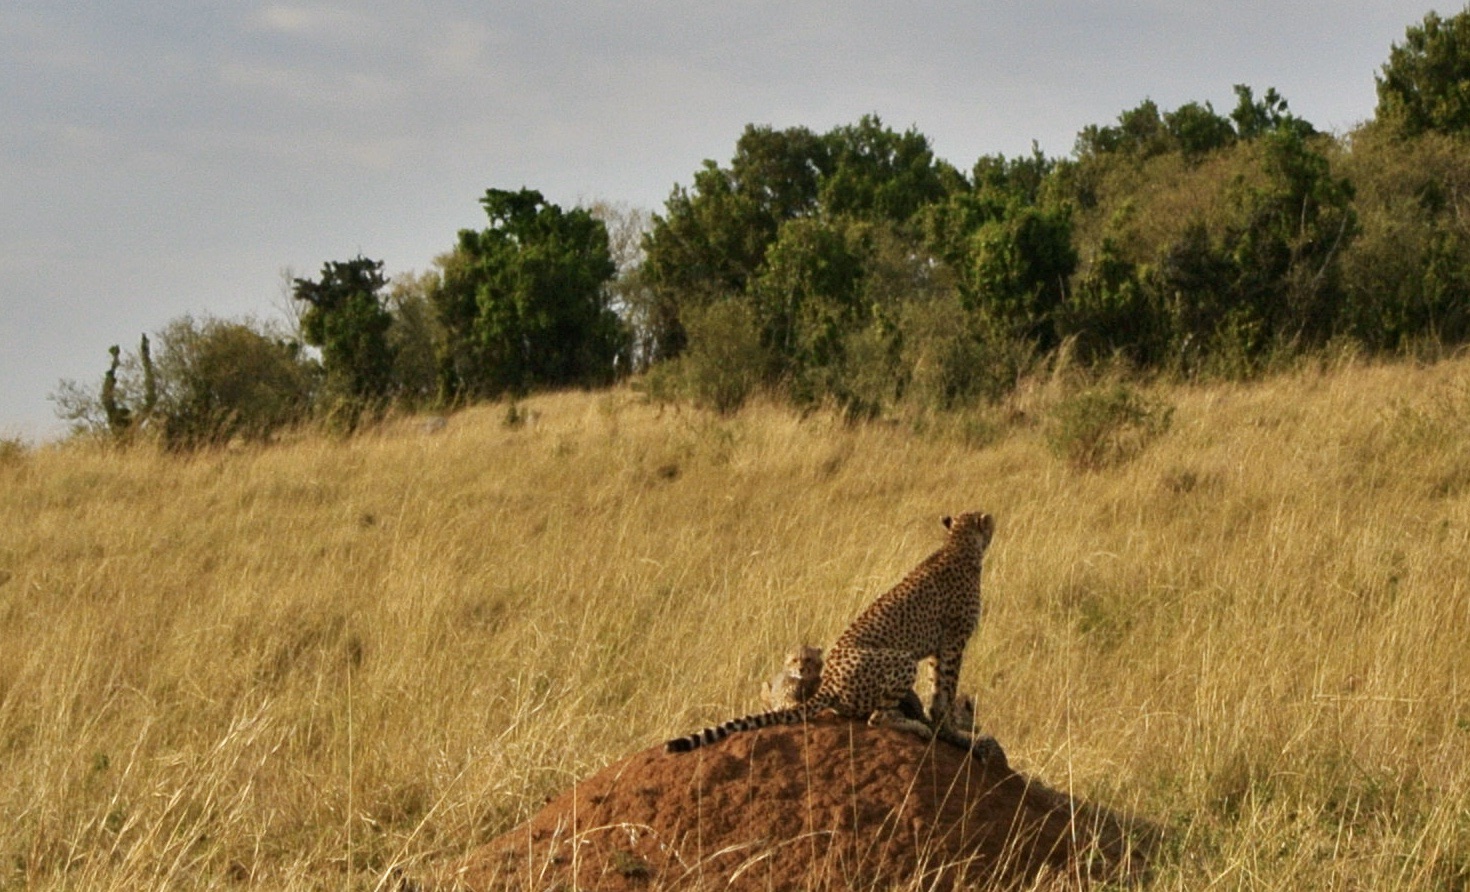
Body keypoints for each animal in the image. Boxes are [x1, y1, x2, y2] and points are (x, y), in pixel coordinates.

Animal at [670, 514, 999, 758]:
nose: (993, 520)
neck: (957, 544)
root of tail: (826, 683)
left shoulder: (938, 647)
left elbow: (937, 686)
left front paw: (941, 720)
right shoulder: (954, 640)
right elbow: (947, 686)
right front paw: (952, 728)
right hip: (901, 660)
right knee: (876, 718)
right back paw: (913, 726)